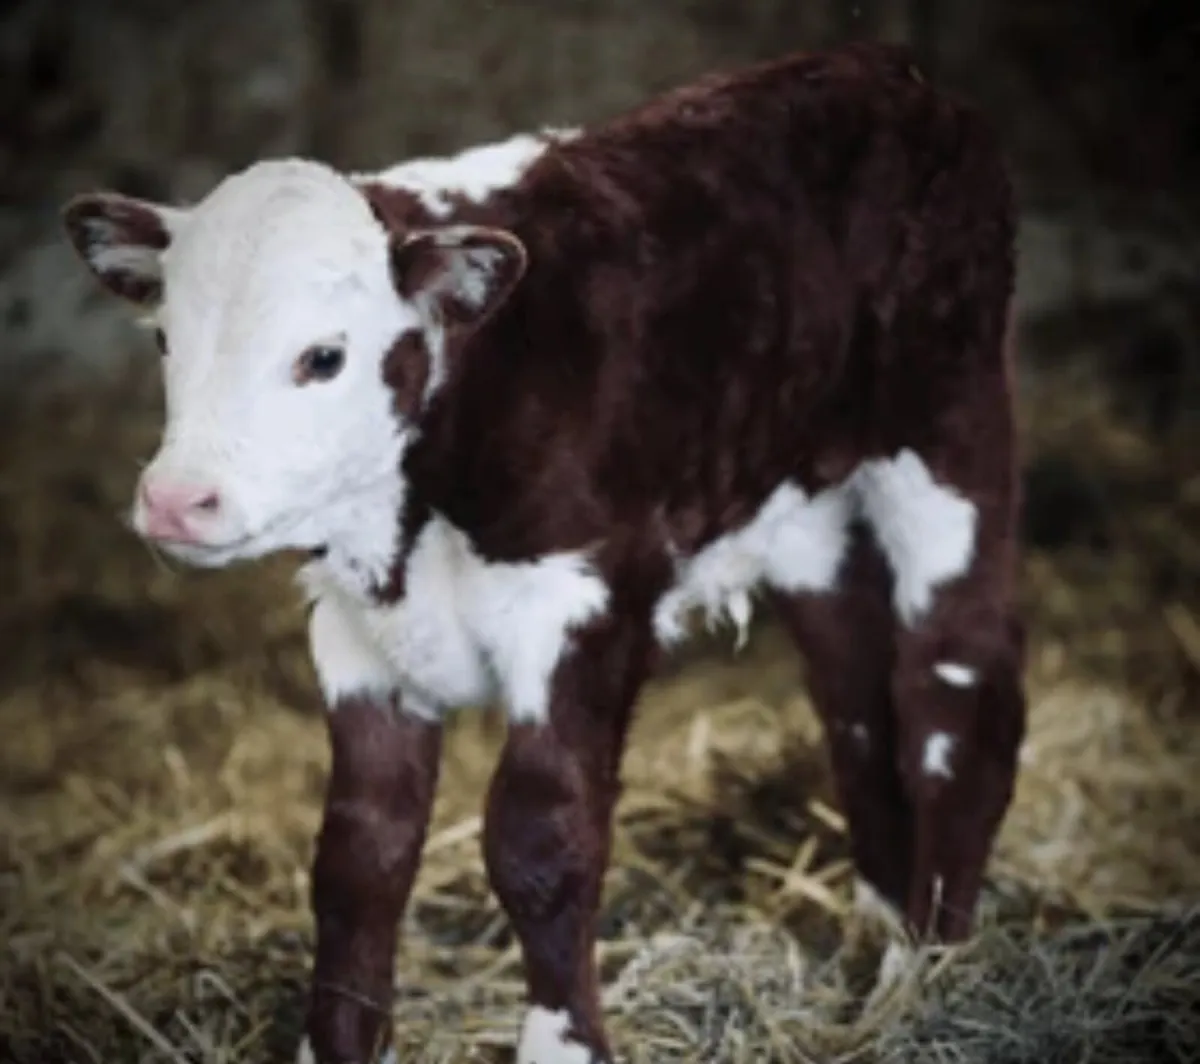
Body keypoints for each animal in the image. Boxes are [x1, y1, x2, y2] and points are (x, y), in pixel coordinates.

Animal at [61, 40, 1026, 1064]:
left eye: (324, 357)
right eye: (166, 340)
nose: (177, 500)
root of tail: (883, 67)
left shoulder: (581, 599)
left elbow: (539, 840)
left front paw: (563, 1041)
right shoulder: (356, 634)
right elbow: (358, 857)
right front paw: (334, 1042)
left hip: (949, 421)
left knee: (954, 680)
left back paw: (929, 967)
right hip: (806, 503)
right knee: (852, 690)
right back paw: (879, 928)